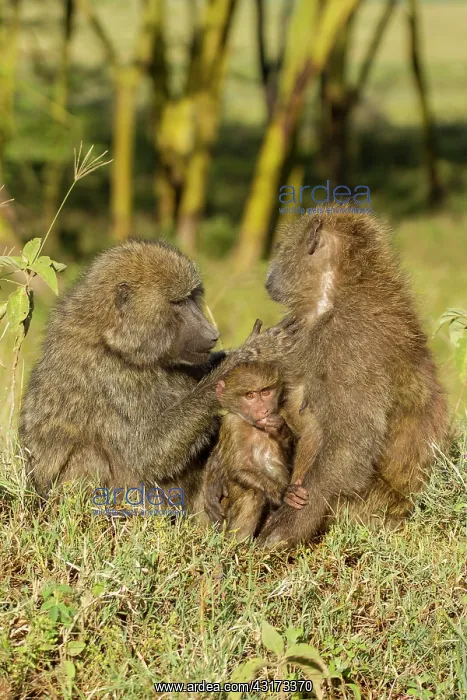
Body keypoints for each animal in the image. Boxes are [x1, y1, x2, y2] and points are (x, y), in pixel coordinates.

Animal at [19, 239, 293, 512]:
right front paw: (248, 355)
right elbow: (147, 453)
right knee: (91, 456)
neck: (112, 340)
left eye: (192, 297)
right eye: (178, 303)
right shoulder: (109, 376)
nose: (212, 334)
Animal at [205, 362, 308, 540]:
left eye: (265, 392)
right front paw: (284, 493)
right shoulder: (232, 424)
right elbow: (239, 468)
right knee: (253, 494)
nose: (263, 411)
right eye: (250, 395)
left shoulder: (283, 411)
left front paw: (281, 430)